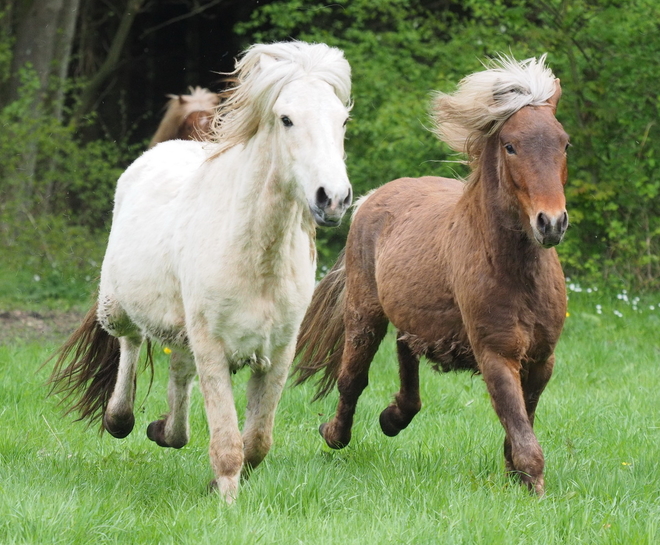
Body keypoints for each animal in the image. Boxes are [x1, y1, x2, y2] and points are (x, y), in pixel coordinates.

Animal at [51, 41, 354, 502]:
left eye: (342, 120)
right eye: (286, 119)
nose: (333, 198)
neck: (257, 258)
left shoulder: (277, 354)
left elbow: (257, 441)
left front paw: (218, 485)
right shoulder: (213, 349)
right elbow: (228, 442)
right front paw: (227, 502)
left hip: (184, 327)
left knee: (178, 370)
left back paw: (164, 431)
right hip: (118, 307)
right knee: (130, 341)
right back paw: (120, 418)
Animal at [294, 55, 568, 492]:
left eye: (563, 143)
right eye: (510, 145)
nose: (552, 223)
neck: (516, 272)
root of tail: (373, 197)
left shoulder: (542, 359)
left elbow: (521, 427)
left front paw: (516, 478)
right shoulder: (496, 355)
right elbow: (525, 439)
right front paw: (535, 492)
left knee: (406, 350)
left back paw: (393, 418)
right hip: (365, 315)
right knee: (352, 377)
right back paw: (335, 433)